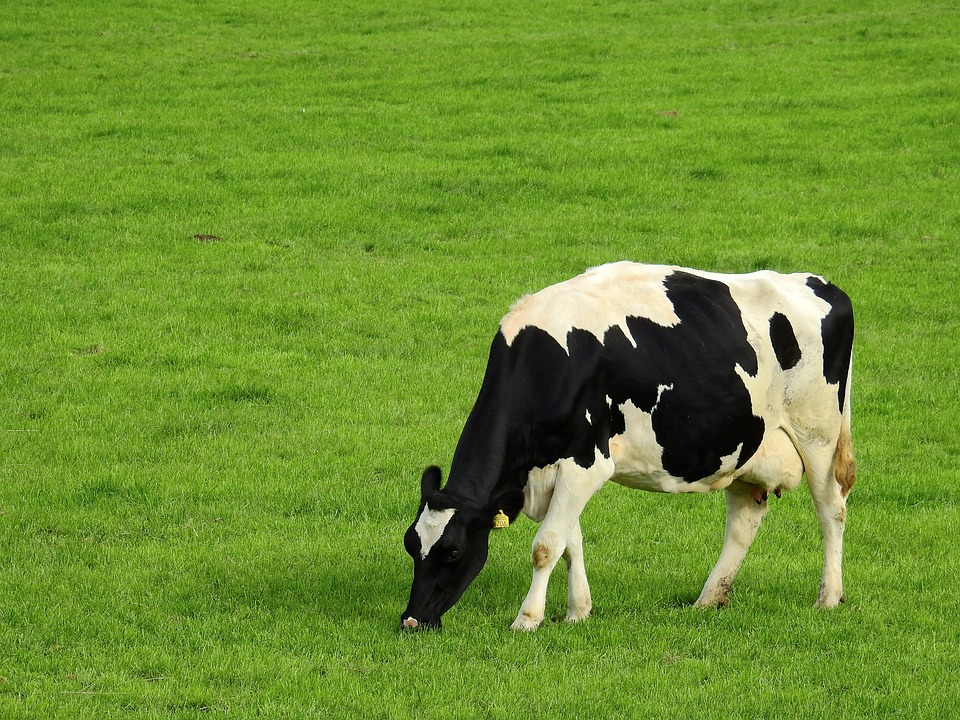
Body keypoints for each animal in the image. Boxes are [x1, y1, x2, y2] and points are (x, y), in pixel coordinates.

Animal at [402, 262, 855, 631]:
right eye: (410, 544)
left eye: (453, 552)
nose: (411, 620)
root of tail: (823, 284)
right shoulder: (561, 468)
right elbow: (569, 542)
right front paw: (578, 611)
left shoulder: (586, 462)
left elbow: (546, 546)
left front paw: (527, 619)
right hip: (746, 447)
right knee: (745, 520)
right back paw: (709, 599)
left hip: (818, 434)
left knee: (831, 509)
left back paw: (829, 598)